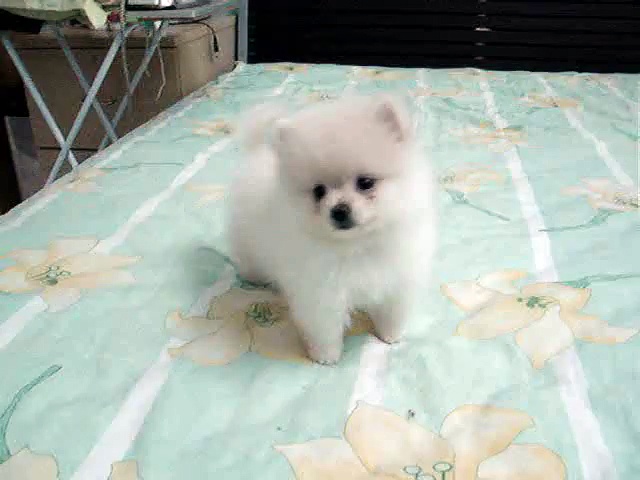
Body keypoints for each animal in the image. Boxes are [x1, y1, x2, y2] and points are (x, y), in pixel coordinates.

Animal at [228, 94, 438, 364]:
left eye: (366, 182)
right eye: (318, 191)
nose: (339, 210)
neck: (357, 245)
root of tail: (258, 151)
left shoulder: (397, 279)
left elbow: (391, 312)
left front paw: (390, 336)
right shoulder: (320, 293)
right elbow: (325, 328)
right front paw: (326, 356)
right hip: (248, 243)